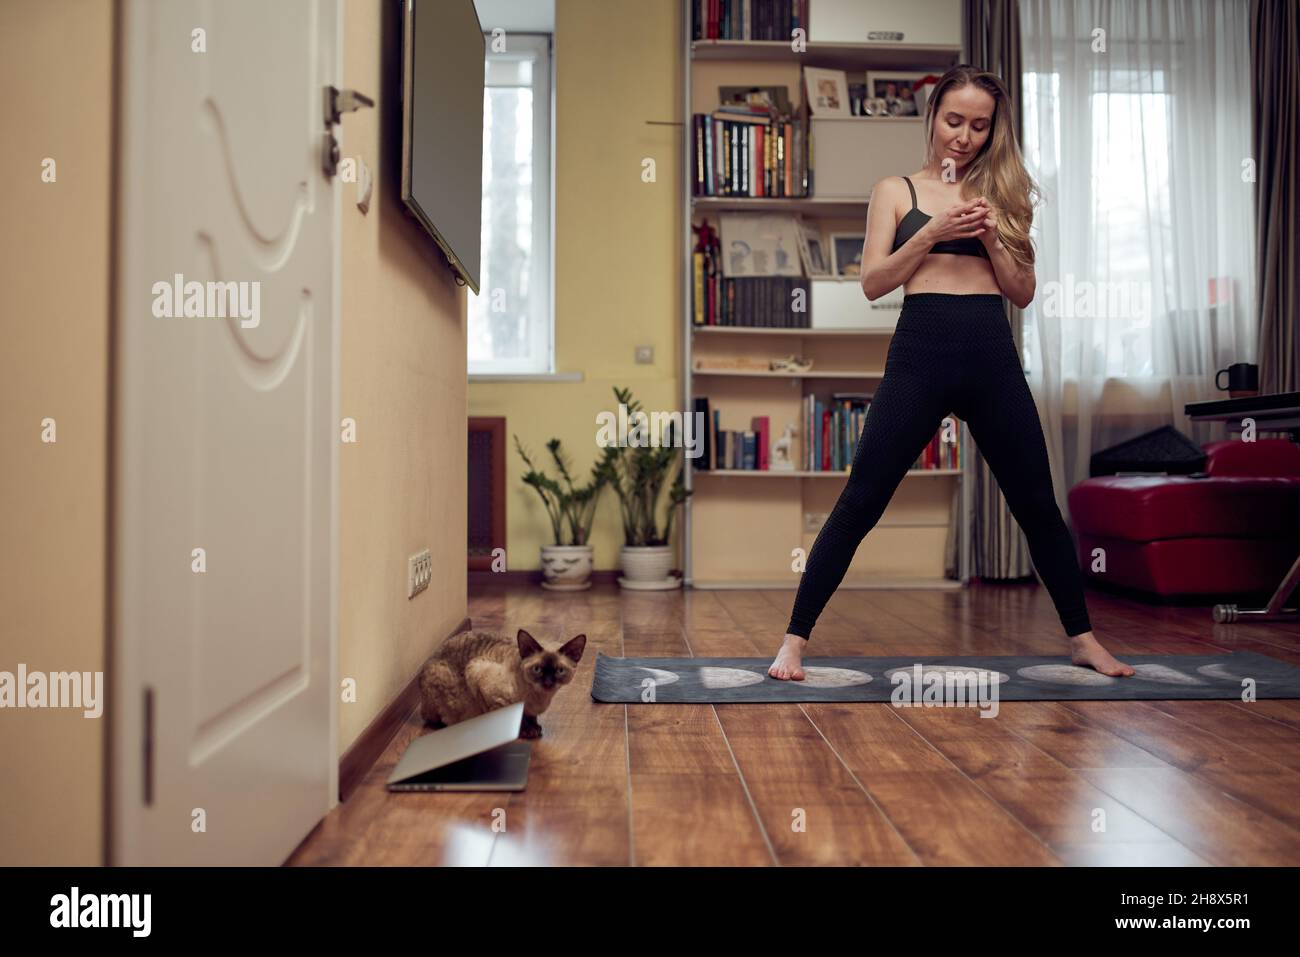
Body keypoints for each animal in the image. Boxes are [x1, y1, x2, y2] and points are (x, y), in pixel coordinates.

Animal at [418, 629, 587, 738]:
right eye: (537, 669)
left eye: (560, 671)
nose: (548, 683)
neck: (538, 698)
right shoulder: (482, 679)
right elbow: (517, 719)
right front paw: (526, 731)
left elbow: (530, 717)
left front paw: (534, 728)